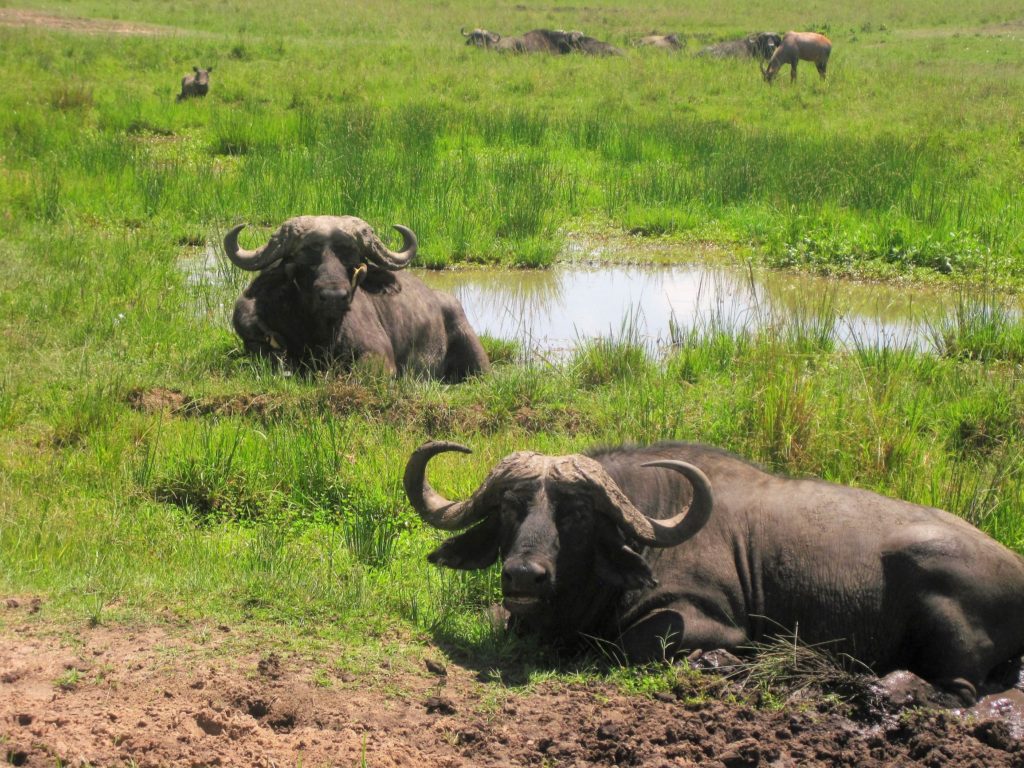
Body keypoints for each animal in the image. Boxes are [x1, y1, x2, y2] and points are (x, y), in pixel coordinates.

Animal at [405, 442, 1024, 700]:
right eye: (512, 508)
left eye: (575, 514)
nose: (523, 576)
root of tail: (1016, 572)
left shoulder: (707, 623)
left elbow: (628, 645)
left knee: (959, 687)